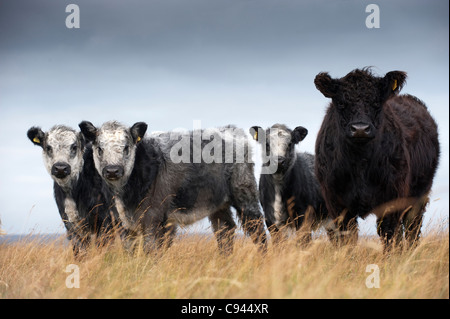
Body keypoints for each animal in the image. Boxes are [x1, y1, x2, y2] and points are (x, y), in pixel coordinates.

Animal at [27, 125, 120, 258]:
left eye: (74, 147)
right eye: (48, 147)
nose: (60, 167)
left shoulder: (105, 221)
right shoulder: (71, 225)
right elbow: (80, 252)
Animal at [312, 69, 440, 249]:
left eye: (377, 103)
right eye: (341, 103)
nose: (360, 129)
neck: (360, 161)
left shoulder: (391, 199)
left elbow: (389, 235)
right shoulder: (336, 201)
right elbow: (346, 238)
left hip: (419, 195)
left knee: (412, 229)